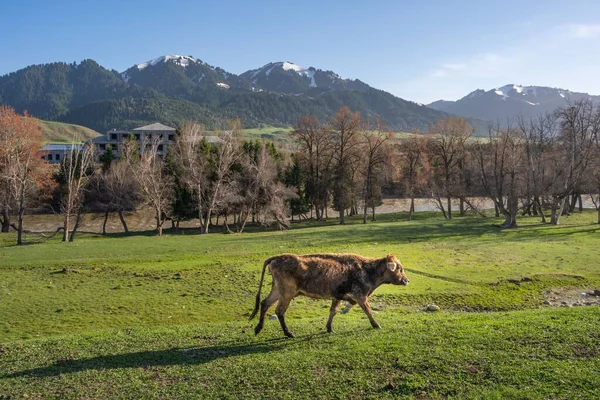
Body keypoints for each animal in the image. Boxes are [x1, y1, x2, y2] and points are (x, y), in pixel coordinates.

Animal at [247, 253, 408, 338]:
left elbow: (333, 311)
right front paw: (376, 325)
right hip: (287, 293)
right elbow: (367, 310)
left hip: (277, 290)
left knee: (265, 303)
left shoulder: (338, 296)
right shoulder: (360, 295)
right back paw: (288, 333)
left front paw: (329, 328)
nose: (407, 280)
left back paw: (258, 328)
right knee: (279, 311)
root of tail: (278, 257)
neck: (367, 270)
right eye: (399, 269)